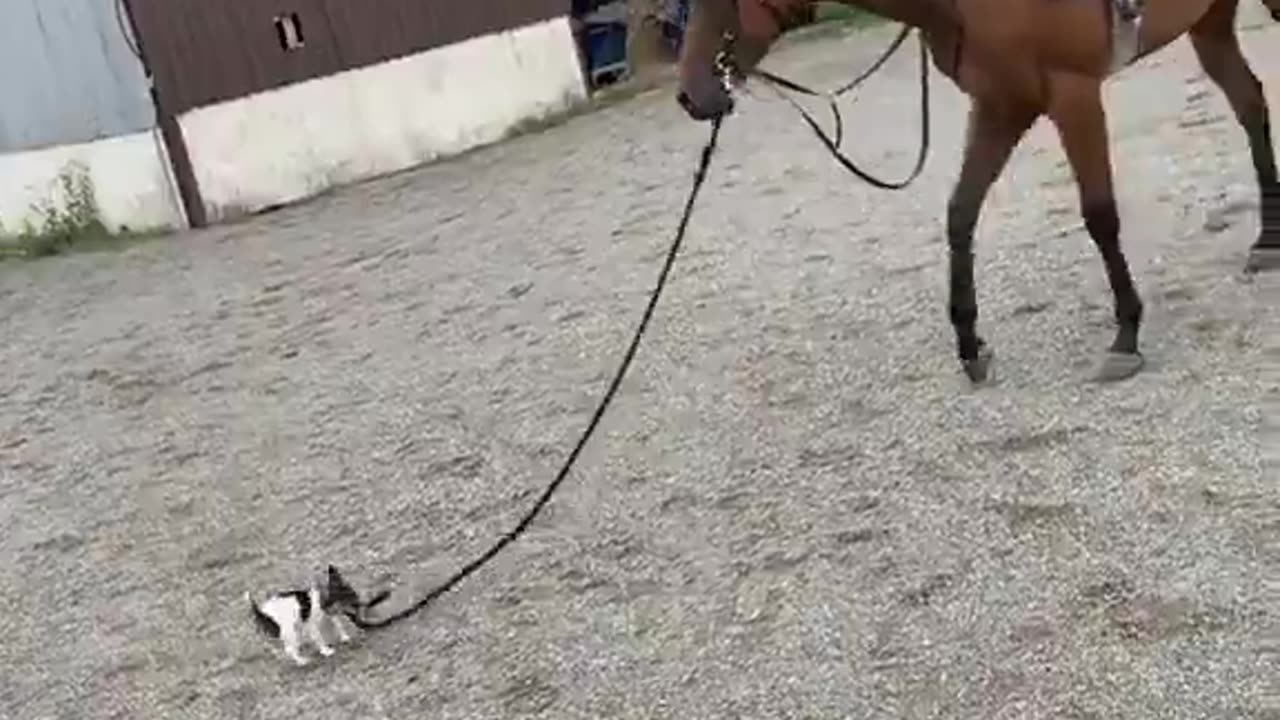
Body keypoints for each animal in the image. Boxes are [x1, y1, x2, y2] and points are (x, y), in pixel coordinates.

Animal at [675, 0, 1280, 383]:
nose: (691, 96)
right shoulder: (1001, 104)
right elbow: (960, 213)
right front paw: (970, 345)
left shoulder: (1073, 93)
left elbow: (1099, 214)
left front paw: (1125, 335)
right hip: (1210, 22)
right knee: (1251, 104)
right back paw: (1267, 240)